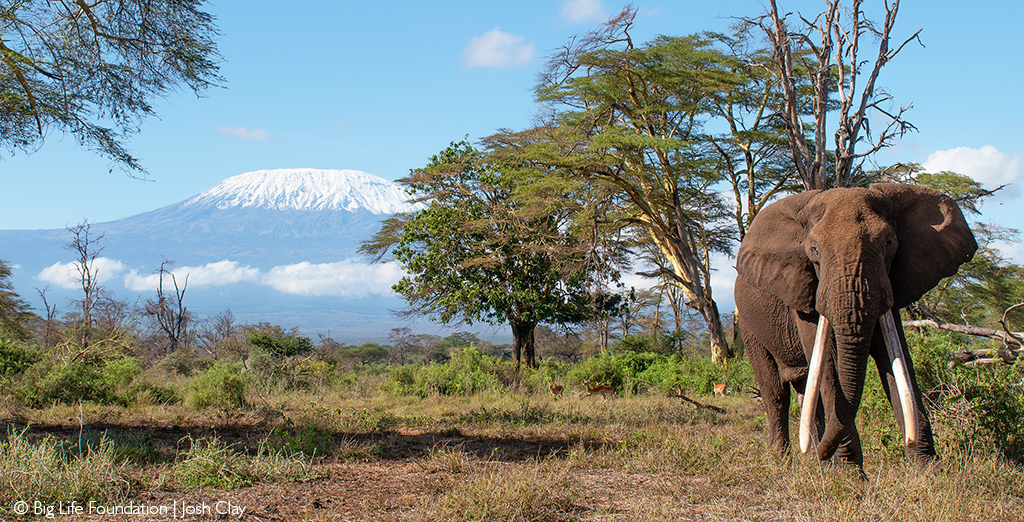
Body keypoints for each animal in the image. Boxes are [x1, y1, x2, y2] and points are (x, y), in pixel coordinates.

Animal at [733, 182, 978, 464]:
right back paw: (783, 458)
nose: (823, 454)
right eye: (814, 249)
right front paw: (847, 472)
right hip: (748, 325)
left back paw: (813, 460)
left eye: (889, 243)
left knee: (807, 391)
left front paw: (928, 469)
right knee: (776, 393)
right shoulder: (806, 294)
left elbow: (898, 362)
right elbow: (829, 367)